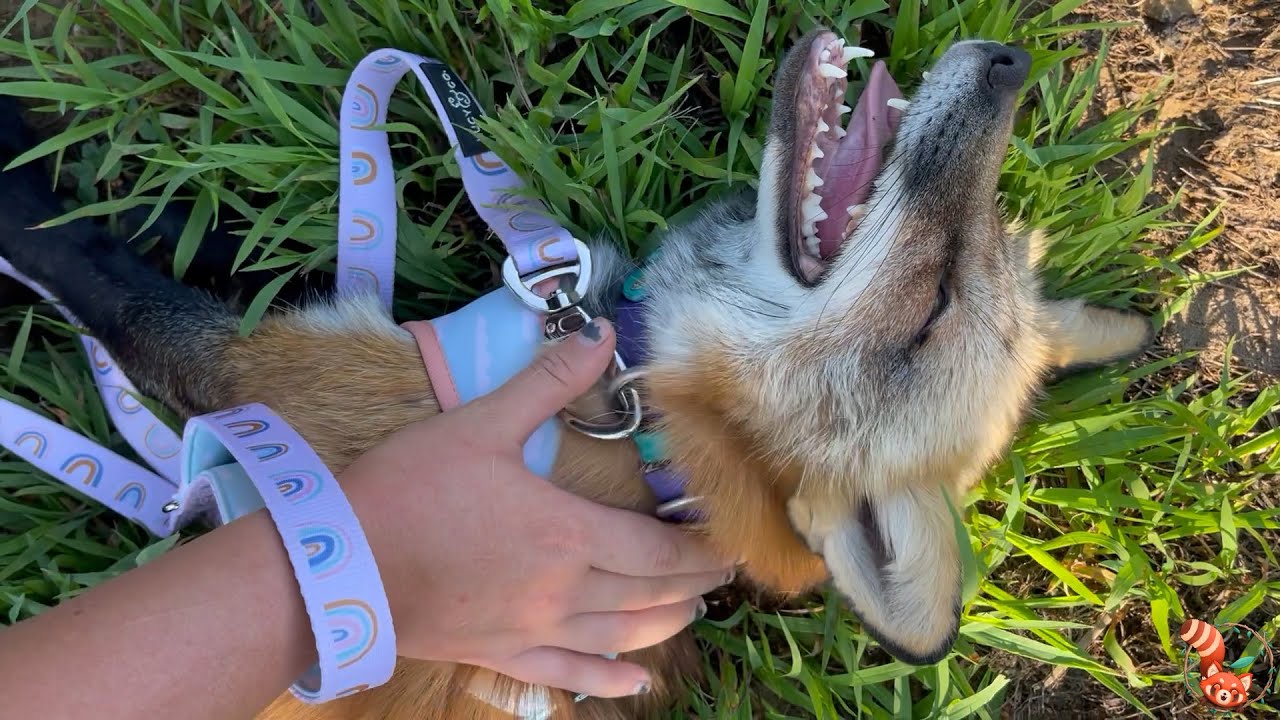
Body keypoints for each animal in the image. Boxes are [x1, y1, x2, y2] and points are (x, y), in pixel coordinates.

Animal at [0, 29, 1154, 720]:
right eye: (969, 264)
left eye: (932, 309)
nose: (1009, 61)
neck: (644, 423)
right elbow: (219, 257)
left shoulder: (266, 383)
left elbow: (89, 261)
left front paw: (23, 173)